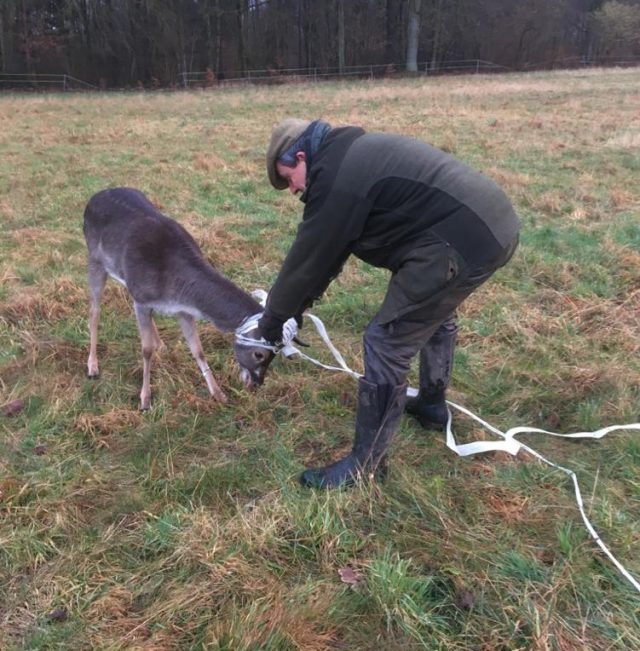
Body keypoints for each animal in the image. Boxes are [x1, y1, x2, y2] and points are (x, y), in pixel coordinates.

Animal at [83, 187, 277, 410]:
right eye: (259, 353)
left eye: (277, 352)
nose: (256, 383)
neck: (174, 287)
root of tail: (95, 196)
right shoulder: (142, 299)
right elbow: (146, 349)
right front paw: (145, 399)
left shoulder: (182, 310)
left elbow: (198, 349)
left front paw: (218, 394)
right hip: (95, 260)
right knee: (94, 310)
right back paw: (92, 366)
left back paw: (161, 345)